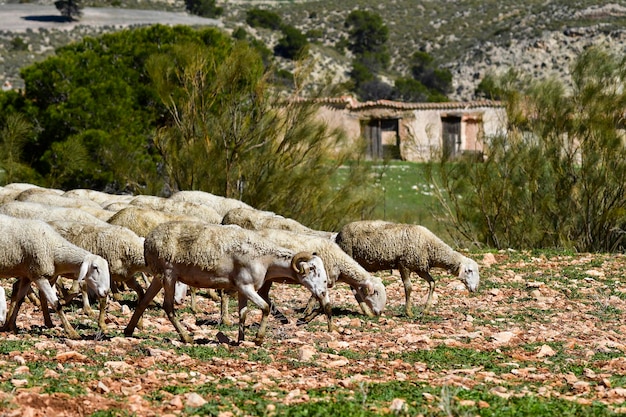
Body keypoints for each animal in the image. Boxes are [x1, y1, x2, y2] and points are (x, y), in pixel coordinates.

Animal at [124, 221, 334, 344]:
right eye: (313, 269)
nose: (323, 293)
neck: (266, 258)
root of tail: (148, 241)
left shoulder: (242, 289)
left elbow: (243, 314)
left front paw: (241, 339)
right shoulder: (245, 286)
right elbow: (265, 307)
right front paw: (258, 338)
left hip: (159, 275)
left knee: (143, 301)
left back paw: (128, 330)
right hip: (168, 274)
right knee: (168, 307)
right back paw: (185, 337)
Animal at [336, 221, 478, 316]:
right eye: (469, 271)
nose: (475, 289)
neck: (430, 246)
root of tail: (338, 234)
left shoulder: (420, 268)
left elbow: (432, 283)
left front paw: (426, 309)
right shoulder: (404, 264)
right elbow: (408, 288)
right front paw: (409, 312)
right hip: (348, 255)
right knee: (353, 287)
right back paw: (367, 312)